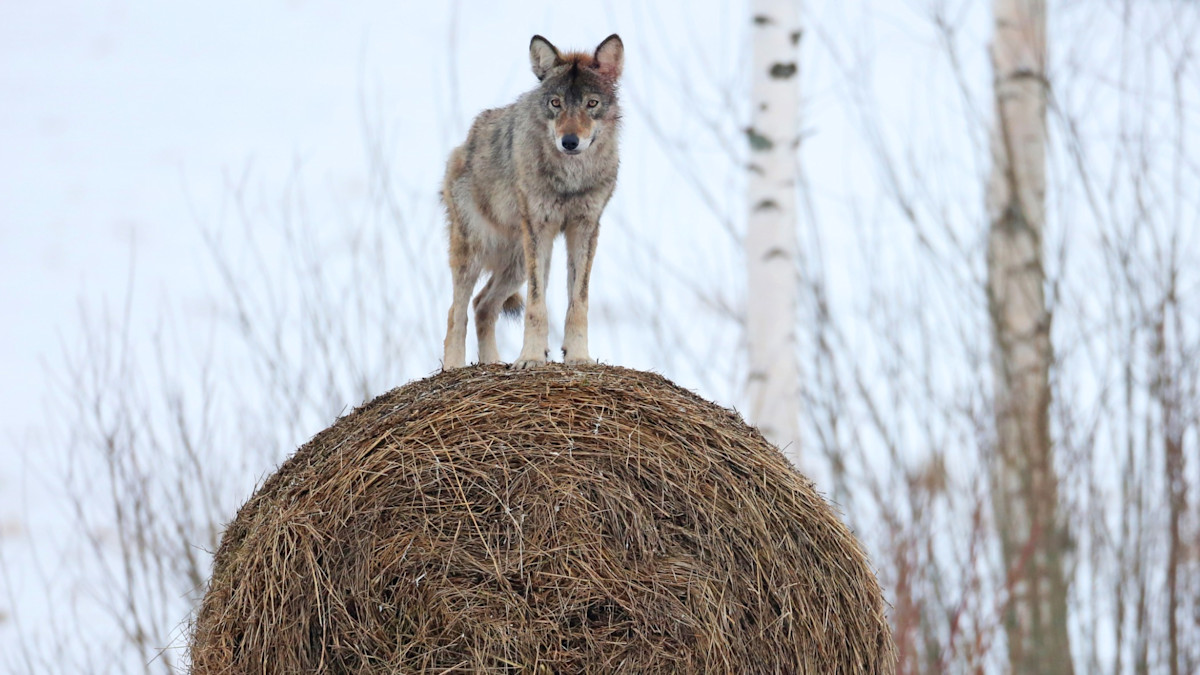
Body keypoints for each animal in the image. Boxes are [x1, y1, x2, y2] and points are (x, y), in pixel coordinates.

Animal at [441, 34, 623, 369]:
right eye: (556, 103)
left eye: (591, 103)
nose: (569, 141)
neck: (570, 178)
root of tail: (463, 146)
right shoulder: (540, 229)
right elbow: (536, 306)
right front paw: (531, 358)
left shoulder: (585, 228)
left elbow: (578, 302)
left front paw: (578, 357)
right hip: (476, 252)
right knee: (456, 312)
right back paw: (453, 368)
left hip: (517, 264)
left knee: (482, 305)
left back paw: (493, 364)